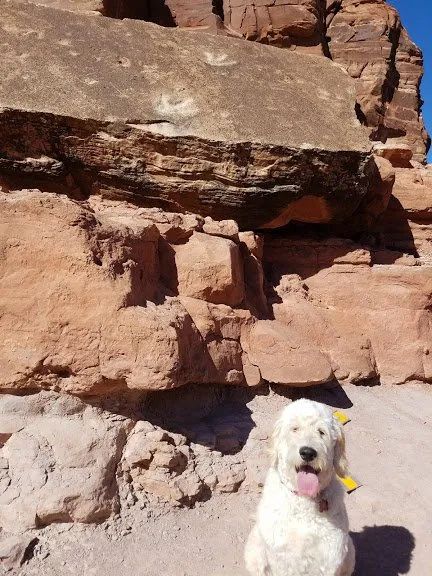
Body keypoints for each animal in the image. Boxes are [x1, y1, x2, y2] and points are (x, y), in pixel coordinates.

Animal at [245, 400, 356, 576]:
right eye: (295, 429)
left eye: (321, 432)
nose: (308, 452)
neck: (304, 500)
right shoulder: (281, 557)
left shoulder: (330, 557)